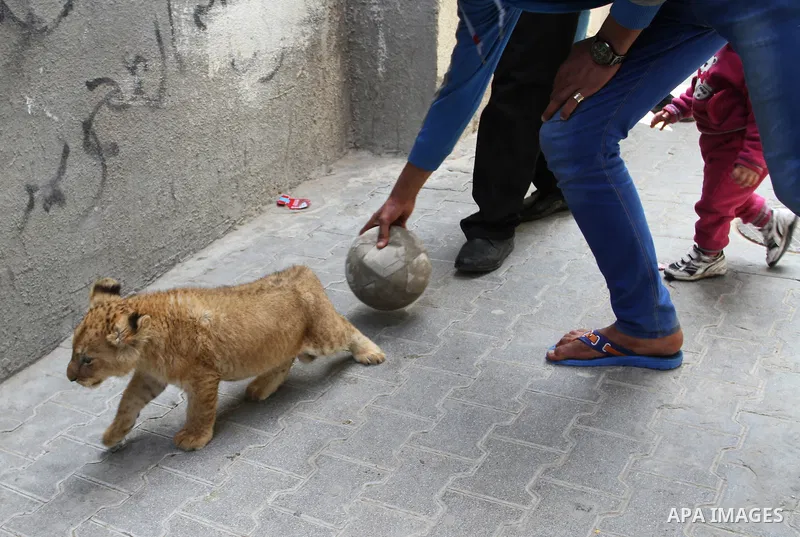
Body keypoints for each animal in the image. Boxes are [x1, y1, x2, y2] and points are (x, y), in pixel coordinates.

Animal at [67, 265, 385, 451]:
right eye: (74, 353)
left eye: (87, 359)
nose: (70, 377)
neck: (147, 348)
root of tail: (301, 270)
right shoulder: (150, 376)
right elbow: (128, 402)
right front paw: (113, 435)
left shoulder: (202, 376)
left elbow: (200, 409)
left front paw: (194, 438)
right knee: (283, 361)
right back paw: (261, 388)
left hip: (322, 336)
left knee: (346, 328)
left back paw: (371, 353)